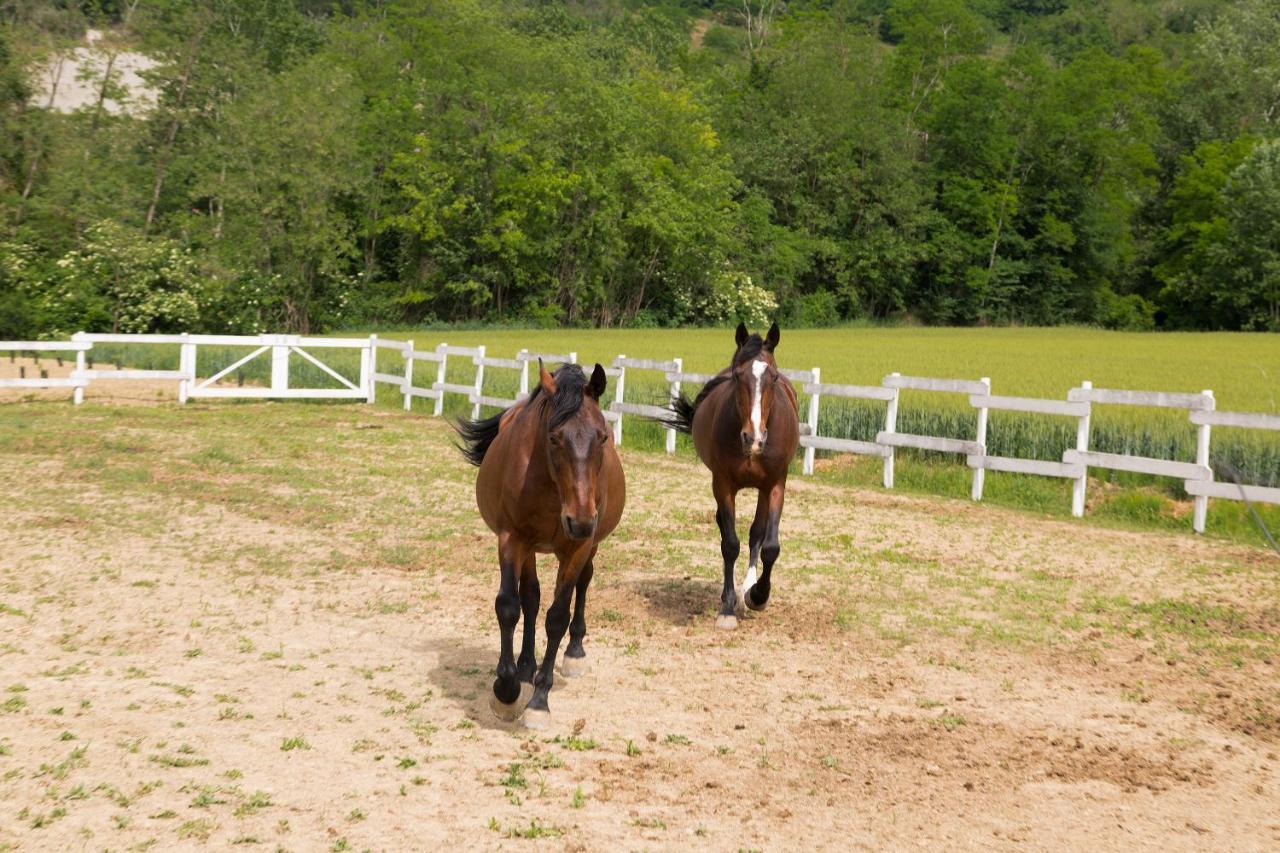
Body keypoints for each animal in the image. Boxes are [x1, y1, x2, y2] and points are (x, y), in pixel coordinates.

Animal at [455, 358, 624, 722]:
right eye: (554, 438)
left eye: (602, 437)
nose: (580, 520)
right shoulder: (512, 539)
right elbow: (509, 606)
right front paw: (506, 690)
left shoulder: (578, 548)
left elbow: (557, 617)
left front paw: (539, 700)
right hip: (530, 548)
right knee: (530, 598)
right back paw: (524, 666)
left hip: (589, 547)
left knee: (583, 584)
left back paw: (574, 653)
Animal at [665, 322, 793, 627]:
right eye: (738, 376)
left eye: (773, 377)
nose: (753, 438)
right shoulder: (722, 484)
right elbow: (730, 544)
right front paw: (727, 607)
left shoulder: (775, 484)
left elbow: (769, 545)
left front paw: (758, 596)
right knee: (726, 530)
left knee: (756, 533)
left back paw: (748, 589)